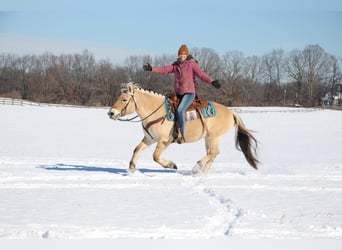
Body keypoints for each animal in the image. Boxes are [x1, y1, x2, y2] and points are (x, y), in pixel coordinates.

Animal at [107, 82, 260, 174]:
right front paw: (132, 168)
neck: (157, 111)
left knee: (214, 152)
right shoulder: (149, 138)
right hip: (208, 138)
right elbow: (137, 149)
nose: (111, 113)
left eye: (124, 99)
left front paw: (172, 165)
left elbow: (155, 156)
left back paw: (197, 167)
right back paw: (202, 172)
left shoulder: (164, 141)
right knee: (213, 153)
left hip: (213, 137)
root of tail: (231, 112)